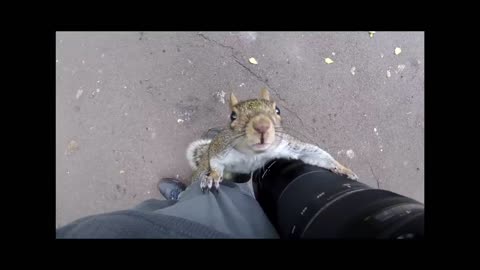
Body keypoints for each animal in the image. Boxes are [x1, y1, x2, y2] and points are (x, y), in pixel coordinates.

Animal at [186, 88, 358, 192]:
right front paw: (214, 176)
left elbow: (311, 153)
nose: (262, 126)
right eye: (233, 116)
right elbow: (215, 161)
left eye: (278, 110)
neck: (254, 154)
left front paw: (343, 169)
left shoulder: (284, 145)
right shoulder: (221, 148)